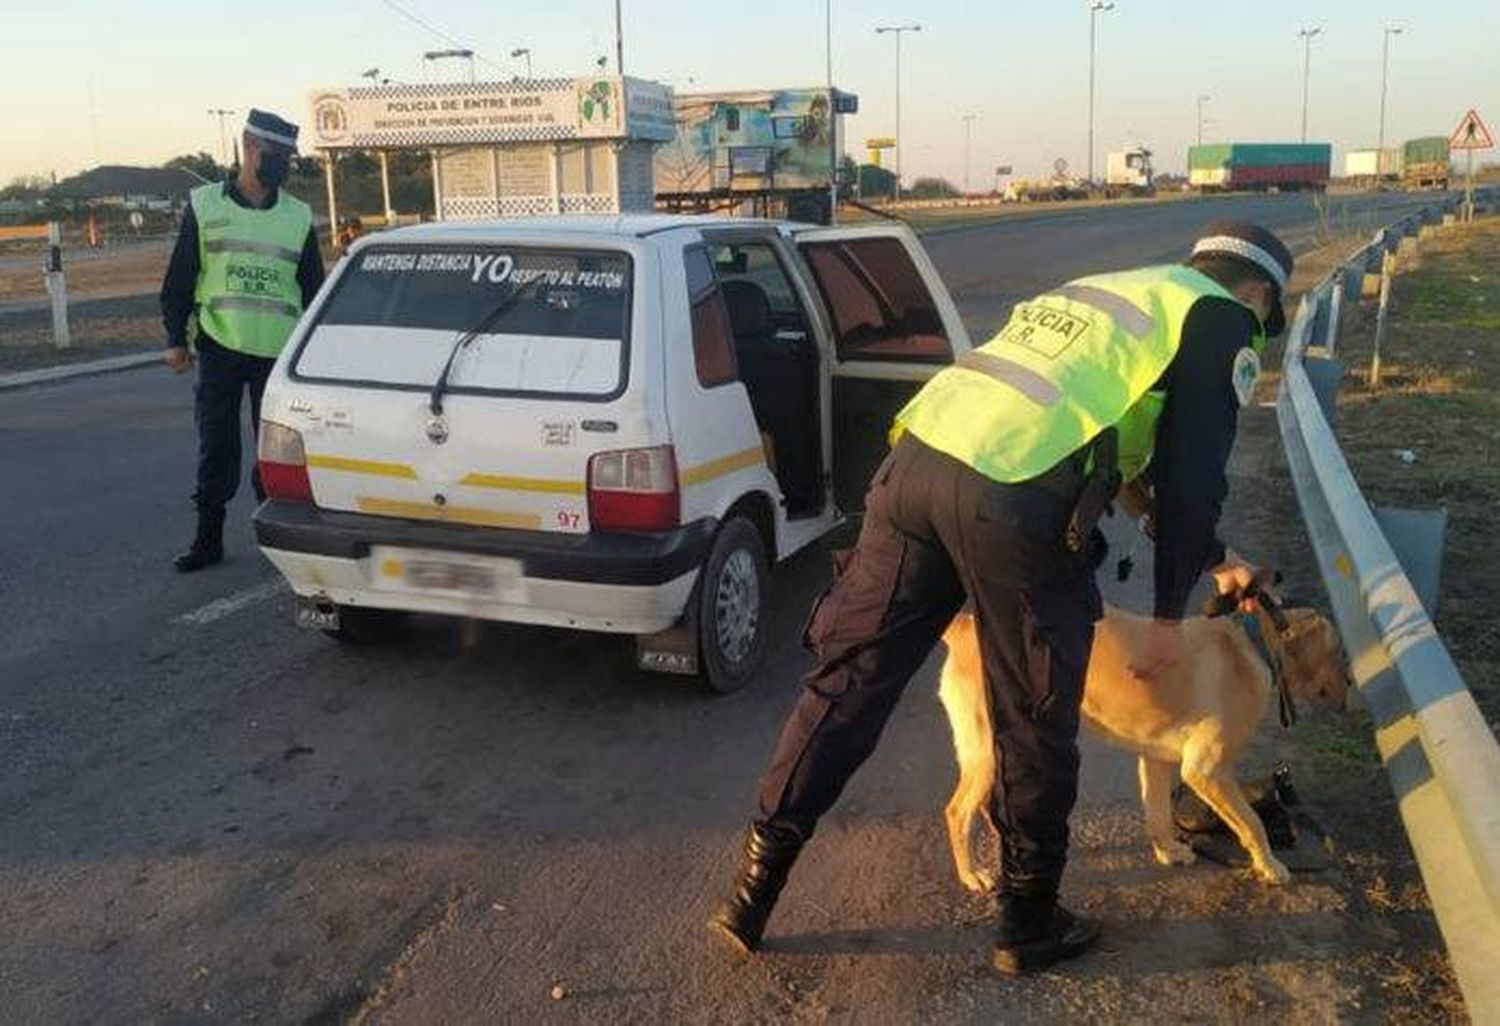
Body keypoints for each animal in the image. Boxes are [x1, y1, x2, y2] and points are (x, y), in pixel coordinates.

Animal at [936, 600, 1350, 888]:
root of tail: (963, 626)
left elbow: (1159, 813)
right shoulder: (1208, 771)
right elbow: (1251, 822)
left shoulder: (1157, 759)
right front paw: (1270, 865)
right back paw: (972, 874)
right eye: (1340, 653)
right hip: (987, 750)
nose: (1352, 688)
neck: (1257, 644)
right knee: (957, 812)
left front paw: (1169, 851)